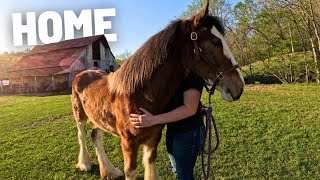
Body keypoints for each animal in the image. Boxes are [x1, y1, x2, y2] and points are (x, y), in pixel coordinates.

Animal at [71, 2, 244, 180]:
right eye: (215, 42)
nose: (239, 86)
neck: (139, 96)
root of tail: (83, 73)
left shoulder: (154, 138)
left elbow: (150, 161)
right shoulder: (128, 143)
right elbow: (130, 171)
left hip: (98, 117)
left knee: (96, 136)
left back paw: (110, 171)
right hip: (80, 116)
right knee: (82, 135)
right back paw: (85, 164)